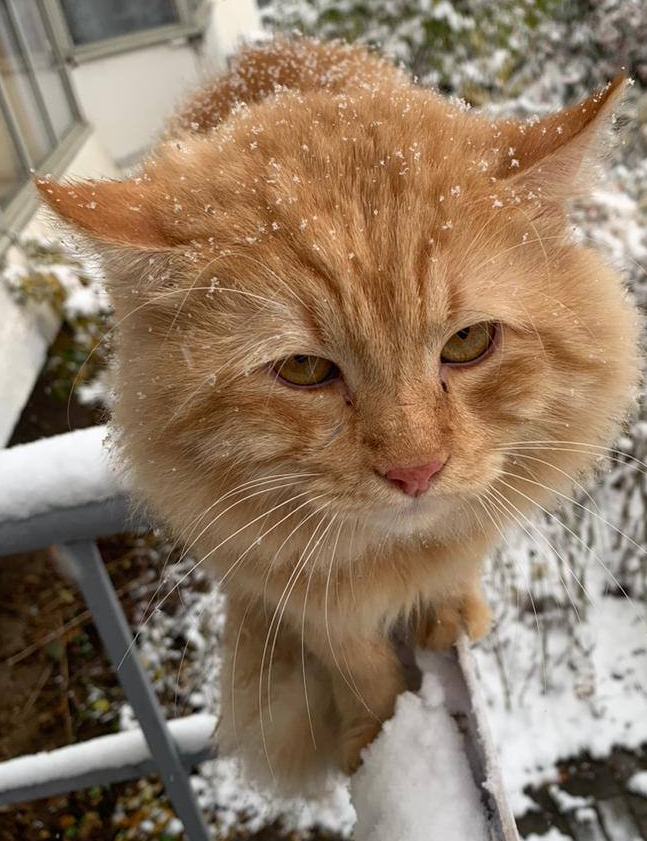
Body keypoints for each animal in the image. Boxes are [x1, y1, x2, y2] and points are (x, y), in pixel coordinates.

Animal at [38, 37, 640, 788]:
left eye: (467, 342)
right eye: (304, 370)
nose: (416, 472)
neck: (396, 558)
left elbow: (459, 561)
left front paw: (451, 611)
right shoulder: (293, 588)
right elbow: (358, 665)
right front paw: (377, 737)